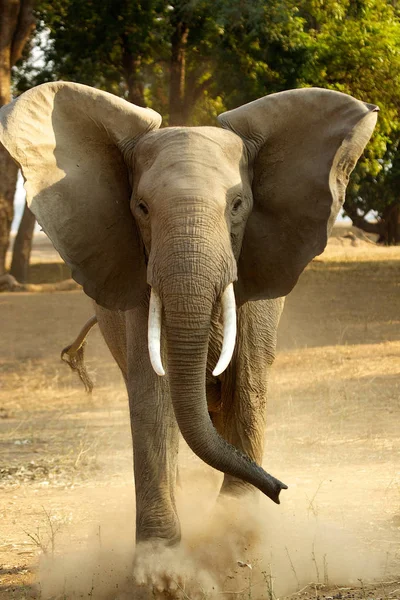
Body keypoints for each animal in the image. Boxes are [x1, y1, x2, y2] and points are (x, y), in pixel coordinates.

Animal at [0, 82, 376, 548]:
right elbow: (152, 394)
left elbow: (247, 384)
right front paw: (161, 561)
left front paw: (236, 530)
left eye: (238, 205)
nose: (280, 489)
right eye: (141, 207)